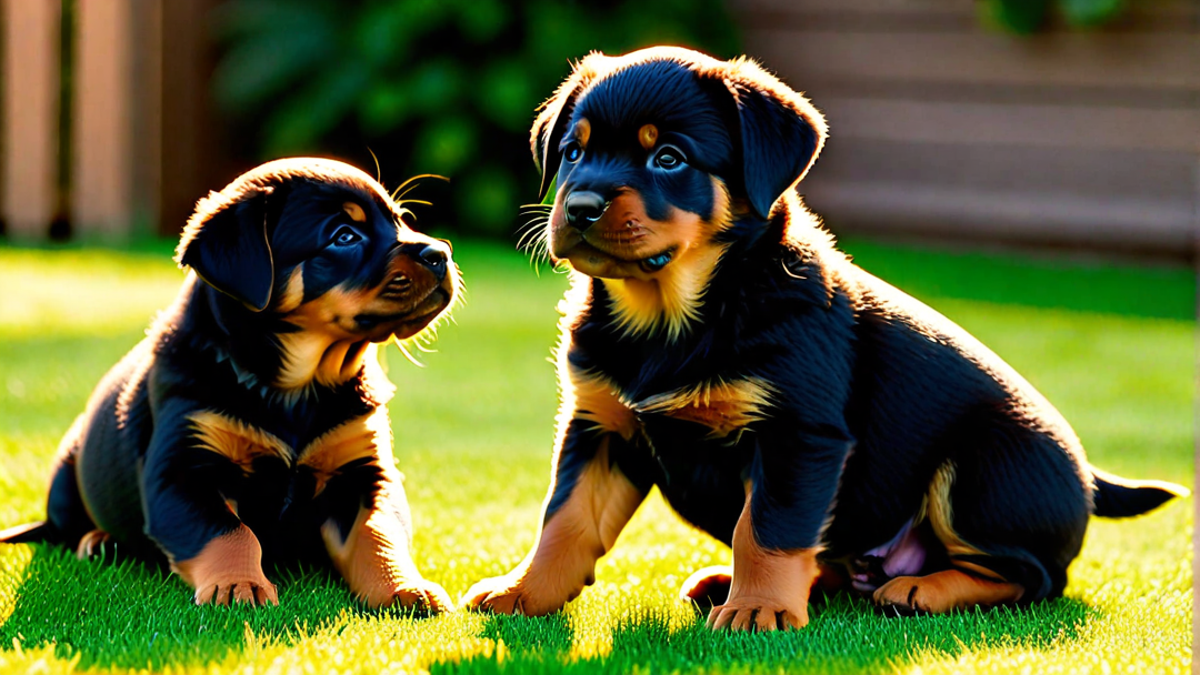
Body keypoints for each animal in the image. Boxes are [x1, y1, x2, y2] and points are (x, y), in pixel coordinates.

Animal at [1, 157, 458, 610]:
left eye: (401, 220)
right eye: (344, 236)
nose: (441, 252)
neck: (296, 389)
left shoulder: (365, 477)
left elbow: (377, 535)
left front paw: (403, 587)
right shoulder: (184, 472)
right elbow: (230, 532)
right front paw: (239, 585)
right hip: (68, 469)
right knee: (66, 527)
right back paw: (99, 541)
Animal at [463, 48, 1185, 629]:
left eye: (669, 158)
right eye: (574, 151)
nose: (580, 205)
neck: (670, 318)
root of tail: (1088, 475)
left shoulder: (798, 434)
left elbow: (769, 528)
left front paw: (759, 610)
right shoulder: (600, 425)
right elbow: (565, 520)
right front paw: (524, 592)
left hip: (982, 468)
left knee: (1036, 576)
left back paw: (921, 587)